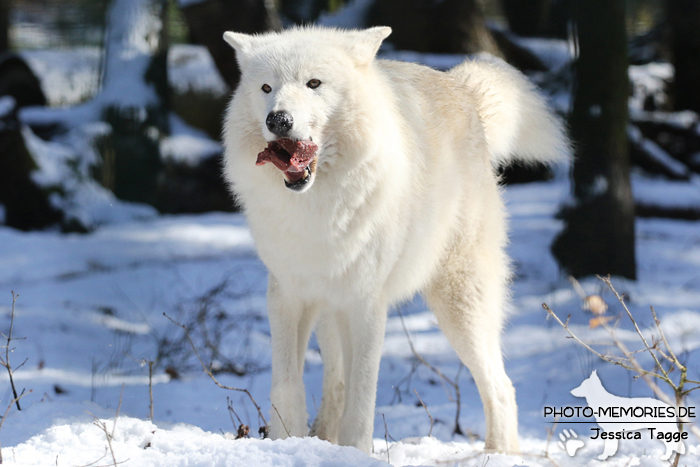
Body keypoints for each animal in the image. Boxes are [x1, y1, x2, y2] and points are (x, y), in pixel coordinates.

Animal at [223, 25, 568, 454]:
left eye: (313, 83)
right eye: (266, 88)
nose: (279, 119)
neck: (319, 208)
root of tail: (462, 88)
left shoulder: (367, 303)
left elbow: (362, 399)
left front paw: (355, 453)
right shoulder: (288, 295)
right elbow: (287, 386)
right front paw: (288, 444)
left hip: (460, 304)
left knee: (502, 386)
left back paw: (499, 453)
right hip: (333, 312)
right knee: (335, 383)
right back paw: (323, 437)